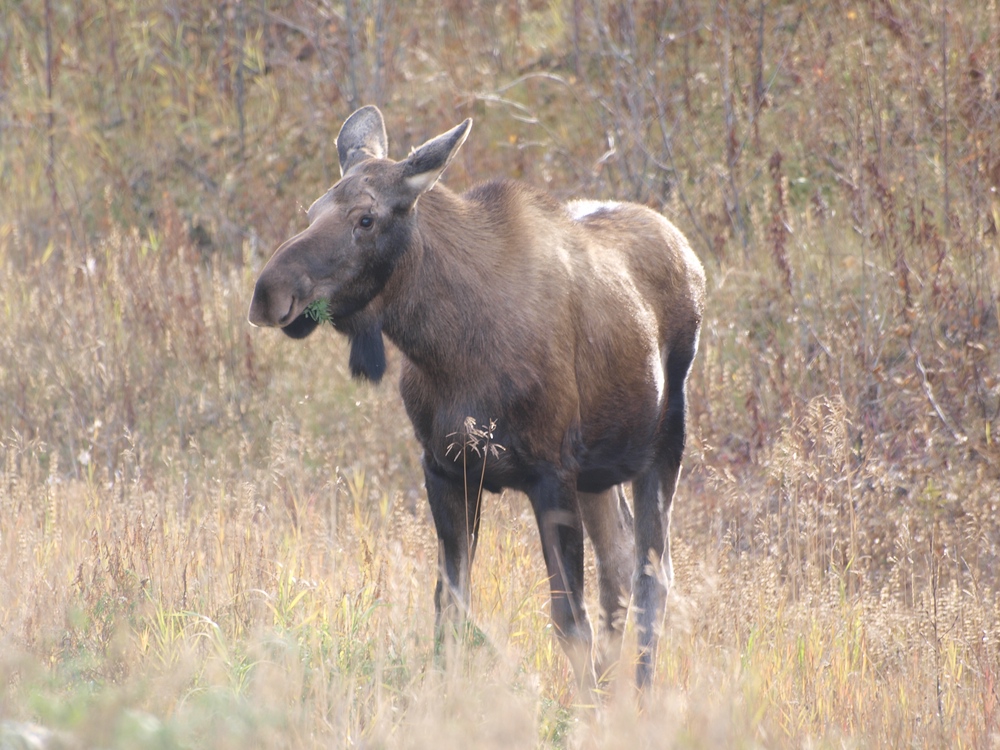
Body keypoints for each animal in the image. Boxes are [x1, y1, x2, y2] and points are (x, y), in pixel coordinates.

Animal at [248, 104, 704, 692]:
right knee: (620, 562)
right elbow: (451, 610)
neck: (447, 348)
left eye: (366, 219)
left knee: (654, 573)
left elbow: (567, 619)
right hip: (599, 474)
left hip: (665, 441)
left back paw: (640, 691)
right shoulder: (445, 469)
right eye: (312, 210)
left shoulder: (550, 472)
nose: (268, 292)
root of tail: (689, 254)